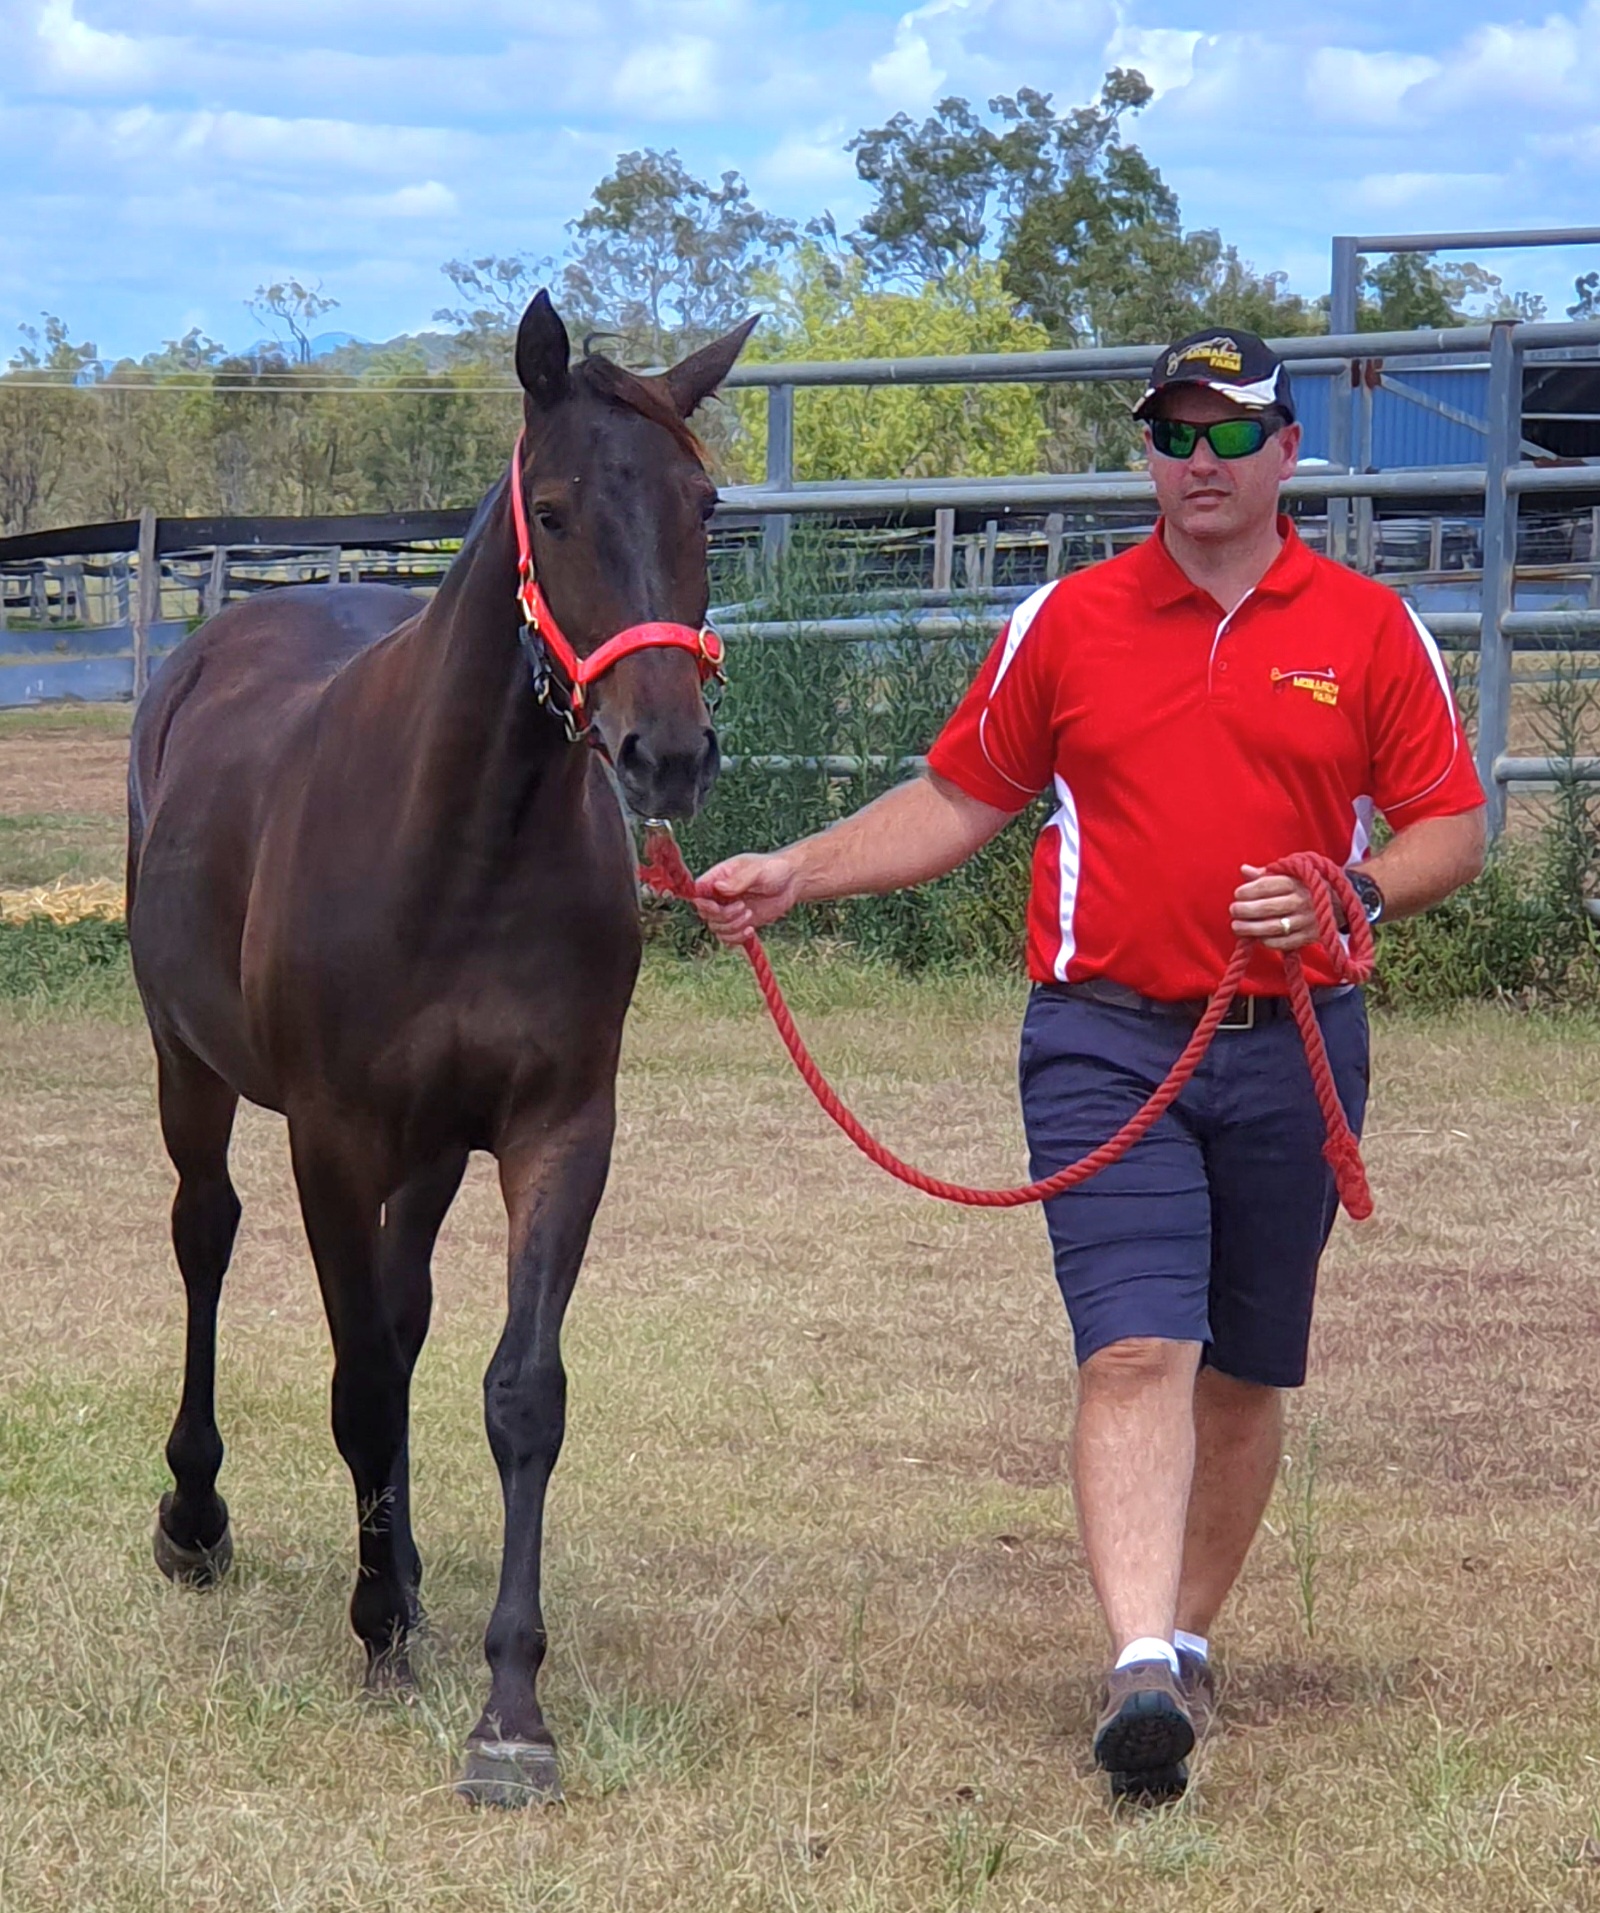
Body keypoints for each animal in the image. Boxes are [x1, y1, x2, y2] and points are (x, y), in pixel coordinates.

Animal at [126, 291, 756, 1806]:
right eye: (557, 506)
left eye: (707, 506)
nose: (666, 754)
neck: (466, 842)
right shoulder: (332, 1139)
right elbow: (355, 1383)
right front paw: (374, 1632)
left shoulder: (555, 1131)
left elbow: (517, 1392)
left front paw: (507, 1703)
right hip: (191, 1070)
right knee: (205, 1240)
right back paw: (201, 1517)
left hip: (426, 1155)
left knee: (403, 1320)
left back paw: (404, 1571)